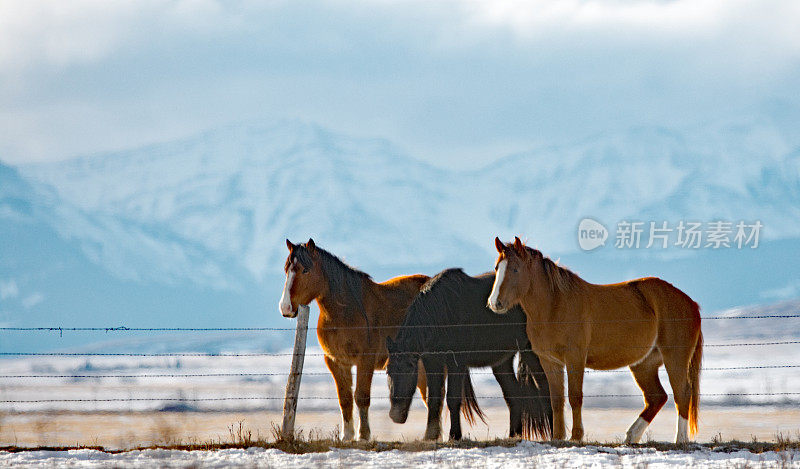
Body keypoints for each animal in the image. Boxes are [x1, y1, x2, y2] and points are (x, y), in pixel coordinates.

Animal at [276, 239, 428, 440]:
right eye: (286, 270)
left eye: (305, 270)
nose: (285, 308)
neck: (346, 311)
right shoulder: (336, 362)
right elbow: (345, 398)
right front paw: (347, 436)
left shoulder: (366, 360)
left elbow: (361, 396)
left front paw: (363, 435)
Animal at [386, 266, 552, 438]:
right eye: (388, 372)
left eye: (410, 369)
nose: (396, 415)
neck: (442, 313)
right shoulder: (433, 362)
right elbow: (434, 399)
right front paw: (429, 436)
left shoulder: (456, 363)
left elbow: (452, 399)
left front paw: (454, 435)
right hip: (502, 362)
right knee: (514, 395)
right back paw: (514, 435)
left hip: (531, 353)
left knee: (546, 388)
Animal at [484, 236, 704, 444]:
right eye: (497, 268)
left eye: (515, 269)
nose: (495, 303)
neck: (554, 306)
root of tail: (690, 302)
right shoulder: (550, 361)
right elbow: (556, 400)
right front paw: (558, 437)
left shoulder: (575, 358)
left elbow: (575, 397)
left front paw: (576, 436)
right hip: (644, 364)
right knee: (656, 397)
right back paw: (632, 435)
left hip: (674, 357)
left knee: (682, 393)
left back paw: (680, 439)